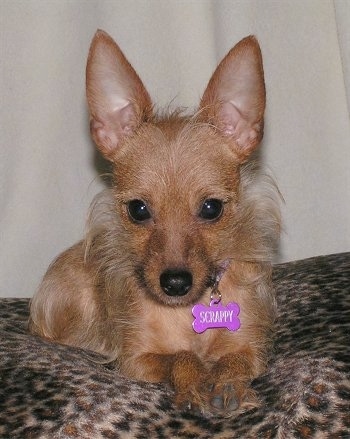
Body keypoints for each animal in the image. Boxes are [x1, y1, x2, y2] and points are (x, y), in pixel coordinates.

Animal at [30, 30, 282, 416]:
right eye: (138, 210)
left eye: (211, 208)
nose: (175, 283)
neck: (188, 312)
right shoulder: (136, 360)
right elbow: (179, 357)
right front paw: (193, 382)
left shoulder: (251, 347)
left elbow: (234, 361)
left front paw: (228, 383)